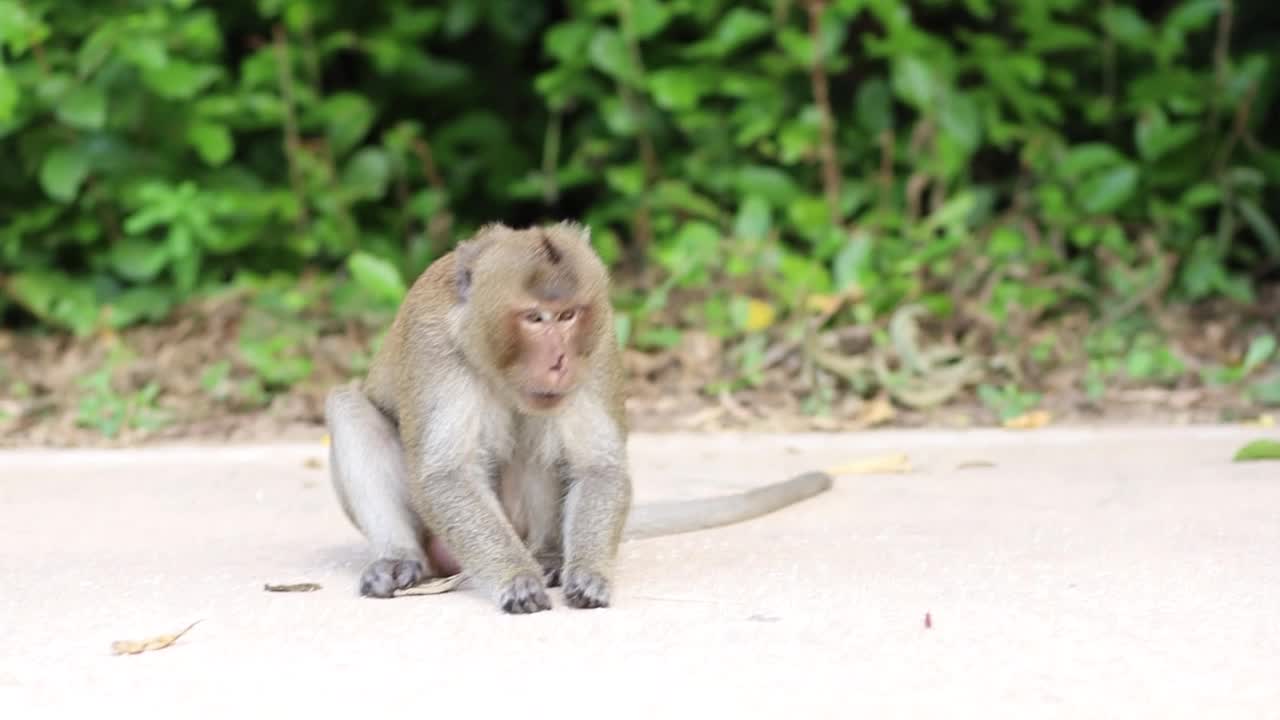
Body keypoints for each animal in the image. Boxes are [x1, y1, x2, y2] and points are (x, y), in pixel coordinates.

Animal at [325, 220, 834, 609]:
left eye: (568, 315)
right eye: (535, 318)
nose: (559, 360)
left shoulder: (600, 341)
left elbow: (598, 466)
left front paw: (588, 573)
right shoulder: (435, 346)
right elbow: (447, 473)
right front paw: (515, 577)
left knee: (540, 443)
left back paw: (550, 557)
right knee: (348, 408)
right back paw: (399, 558)